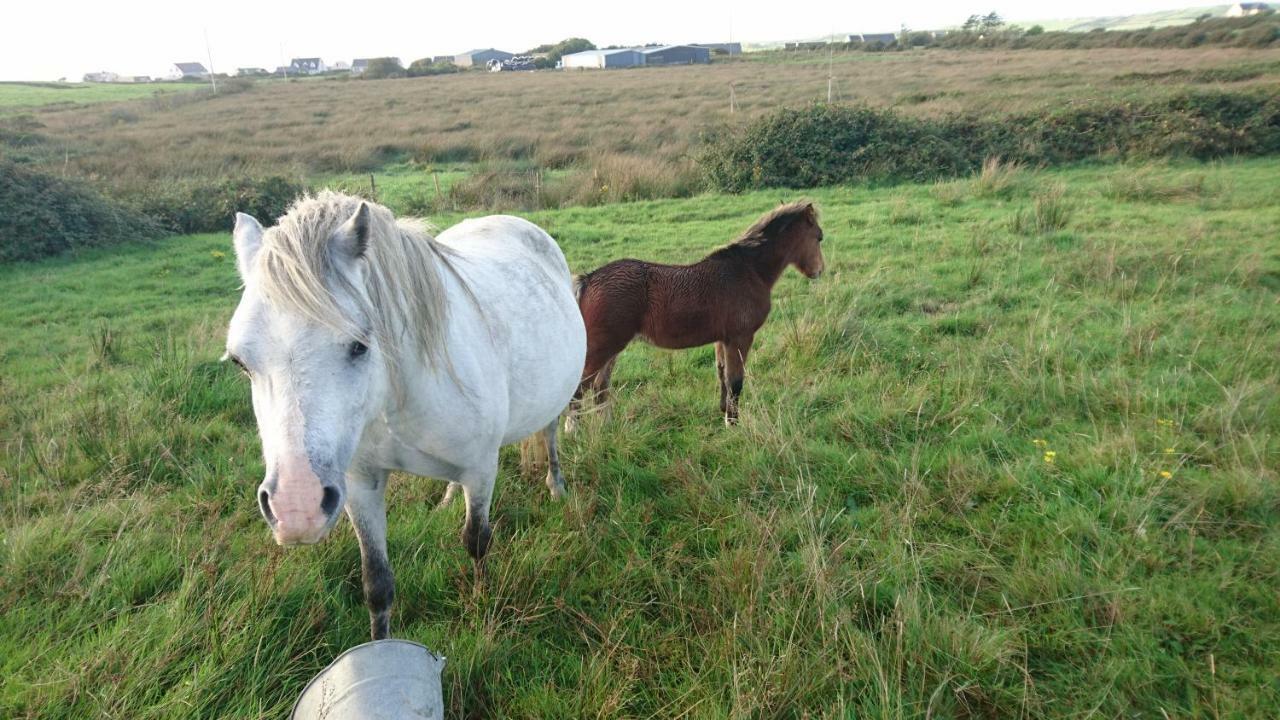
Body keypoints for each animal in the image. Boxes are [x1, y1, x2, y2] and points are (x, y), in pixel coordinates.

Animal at [227, 190, 586, 632]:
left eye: (360, 346)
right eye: (240, 362)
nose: (297, 509)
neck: (392, 399)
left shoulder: (482, 470)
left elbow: (477, 541)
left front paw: (482, 606)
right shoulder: (359, 485)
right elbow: (376, 580)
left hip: (554, 401)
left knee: (549, 434)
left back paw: (556, 484)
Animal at [565, 198, 824, 422]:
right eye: (819, 237)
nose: (819, 271)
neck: (748, 270)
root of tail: (589, 279)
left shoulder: (723, 339)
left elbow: (722, 374)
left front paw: (724, 414)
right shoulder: (741, 337)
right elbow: (736, 382)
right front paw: (734, 423)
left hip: (612, 348)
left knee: (600, 387)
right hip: (601, 346)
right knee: (580, 388)